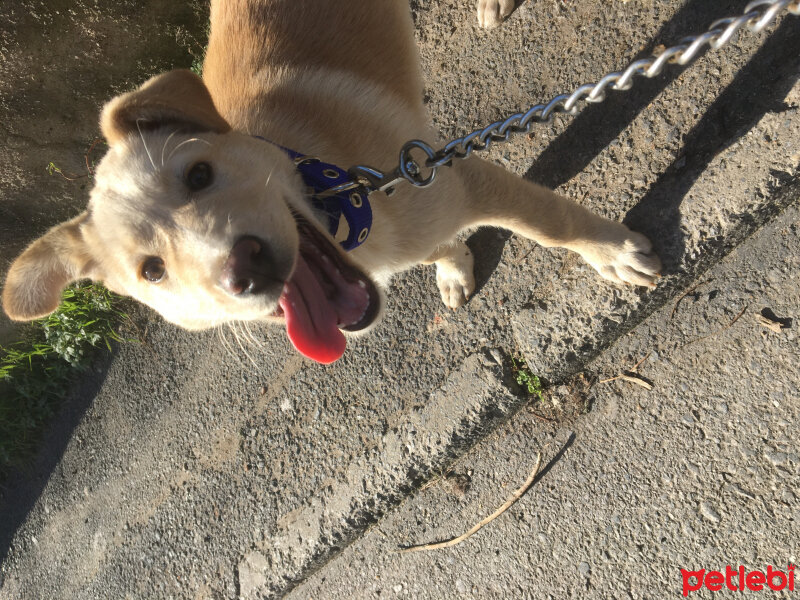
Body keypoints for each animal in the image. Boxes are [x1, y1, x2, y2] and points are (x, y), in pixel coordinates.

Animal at [1, 0, 664, 364]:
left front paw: (613, 254)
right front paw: (453, 267)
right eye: (152, 271)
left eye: (198, 173)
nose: (245, 269)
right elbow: (438, 249)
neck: (341, 197)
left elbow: (557, 224)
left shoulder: (452, 170)